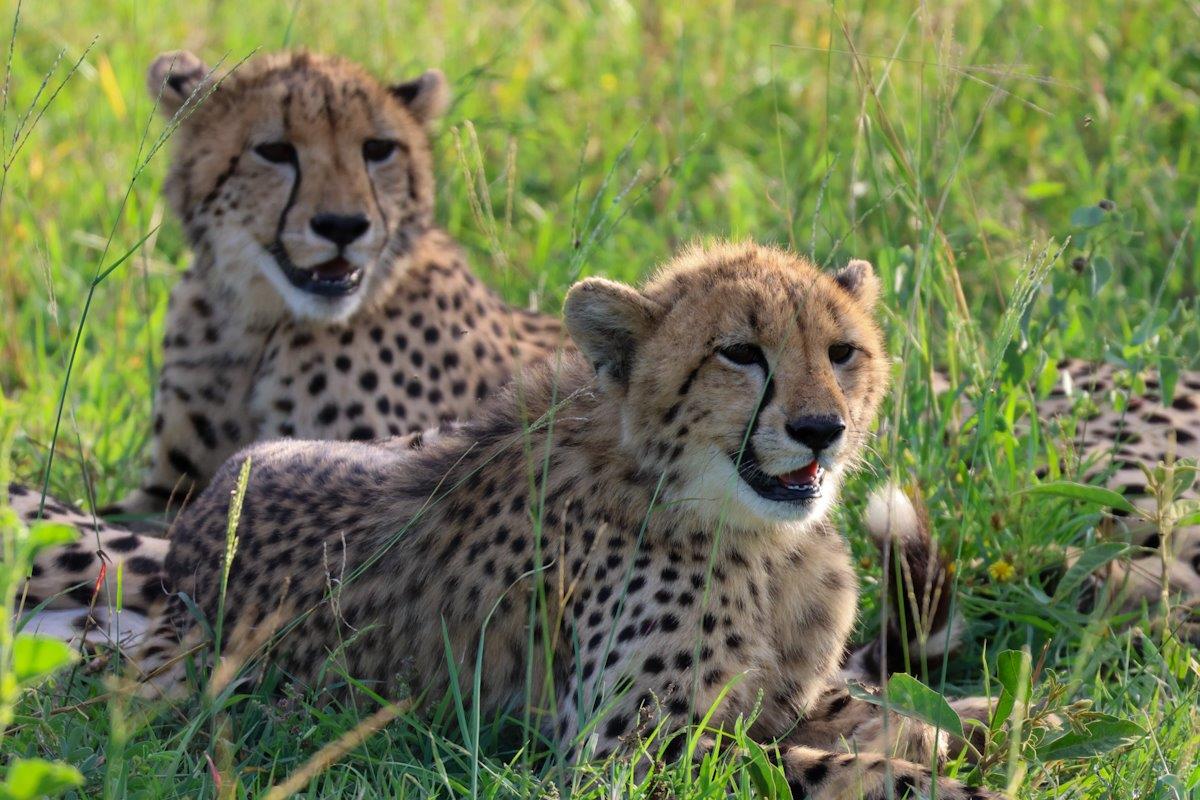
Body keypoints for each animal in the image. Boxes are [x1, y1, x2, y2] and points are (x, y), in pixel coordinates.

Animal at [13, 244, 1006, 799]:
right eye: (739, 354)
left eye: (842, 353)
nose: (820, 428)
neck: (761, 540)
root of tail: (203, 513)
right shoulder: (622, 758)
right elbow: (820, 765)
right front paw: (945, 781)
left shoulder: (779, 696)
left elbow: (865, 708)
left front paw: (960, 718)